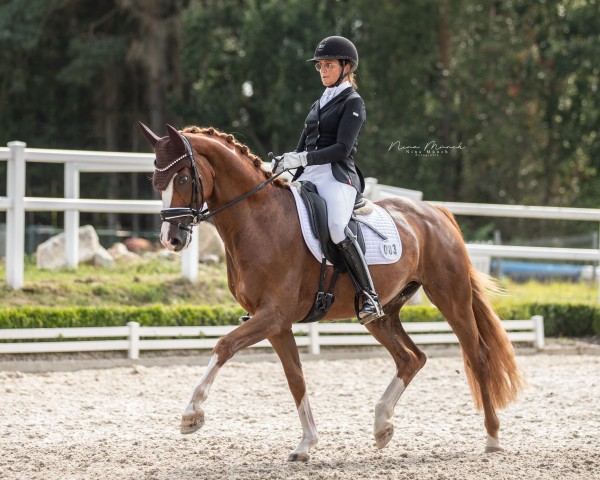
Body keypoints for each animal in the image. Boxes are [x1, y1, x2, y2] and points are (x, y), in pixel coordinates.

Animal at [138, 123, 524, 462]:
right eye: (155, 181)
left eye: (183, 178)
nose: (171, 240)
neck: (258, 220)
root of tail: (437, 211)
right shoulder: (276, 323)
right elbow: (296, 379)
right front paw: (306, 444)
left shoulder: (273, 315)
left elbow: (223, 346)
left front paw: (192, 414)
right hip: (382, 314)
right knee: (411, 358)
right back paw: (382, 426)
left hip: (450, 297)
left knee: (477, 356)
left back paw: (492, 438)